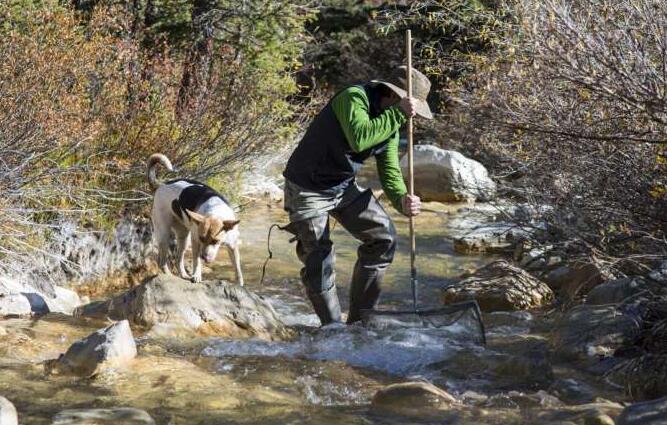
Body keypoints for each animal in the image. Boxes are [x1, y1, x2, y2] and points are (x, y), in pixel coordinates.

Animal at [145, 153, 244, 284]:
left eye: (215, 241)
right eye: (202, 238)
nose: (204, 257)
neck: (215, 213)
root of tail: (161, 185)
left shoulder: (233, 245)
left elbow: (237, 267)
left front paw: (240, 283)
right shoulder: (196, 240)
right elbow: (196, 261)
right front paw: (197, 275)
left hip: (183, 237)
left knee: (178, 259)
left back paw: (184, 275)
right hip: (165, 234)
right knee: (162, 260)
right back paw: (169, 275)